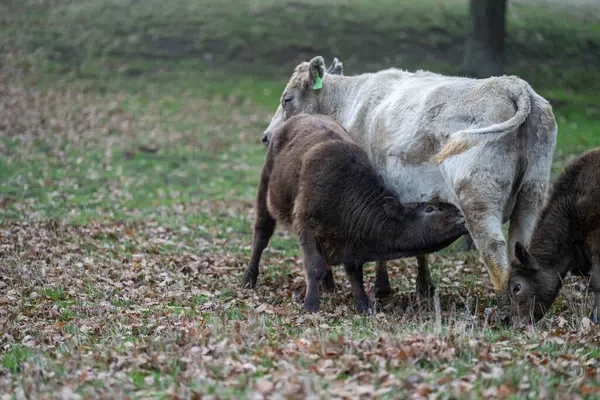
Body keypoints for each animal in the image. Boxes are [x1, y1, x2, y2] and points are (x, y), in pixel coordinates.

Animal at [244, 114, 468, 314]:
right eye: (429, 209)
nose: (462, 216)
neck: (345, 192)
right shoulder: (306, 225)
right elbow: (315, 265)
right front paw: (310, 305)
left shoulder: (350, 246)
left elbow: (354, 274)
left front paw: (364, 305)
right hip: (265, 192)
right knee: (261, 235)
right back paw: (249, 278)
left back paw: (329, 285)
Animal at [262, 56, 556, 296]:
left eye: (287, 99)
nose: (267, 136)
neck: (350, 104)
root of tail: (512, 84)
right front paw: (424, 287)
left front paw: (382, 288)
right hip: (532, 193)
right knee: (521, 244)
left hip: (478, 199)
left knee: (495, 251)